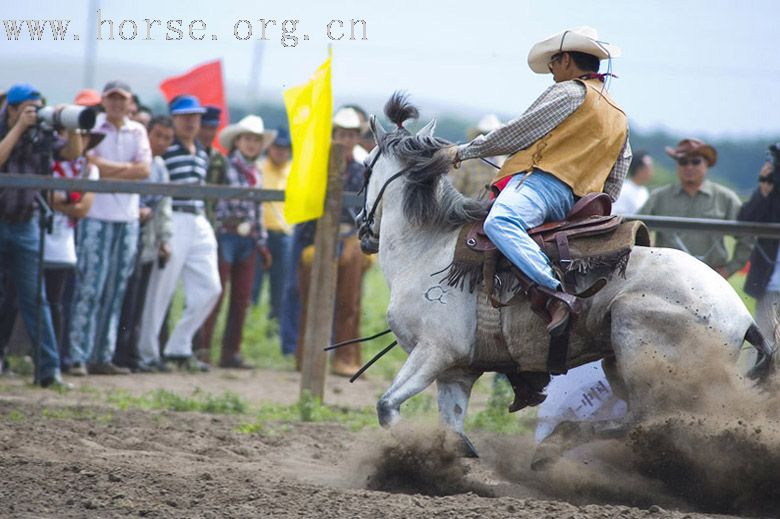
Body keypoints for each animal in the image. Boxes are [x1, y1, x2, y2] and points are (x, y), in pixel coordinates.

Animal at [356, 93, 772, 464]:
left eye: (365, 168)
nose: (362, 227)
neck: (429, 248)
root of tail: (741, 315)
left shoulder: (435, 352)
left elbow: (386, 407)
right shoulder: (457, 373)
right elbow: (453, 429)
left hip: (640, 345)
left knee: (643, 421)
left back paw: (554, 444)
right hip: (619, 362)